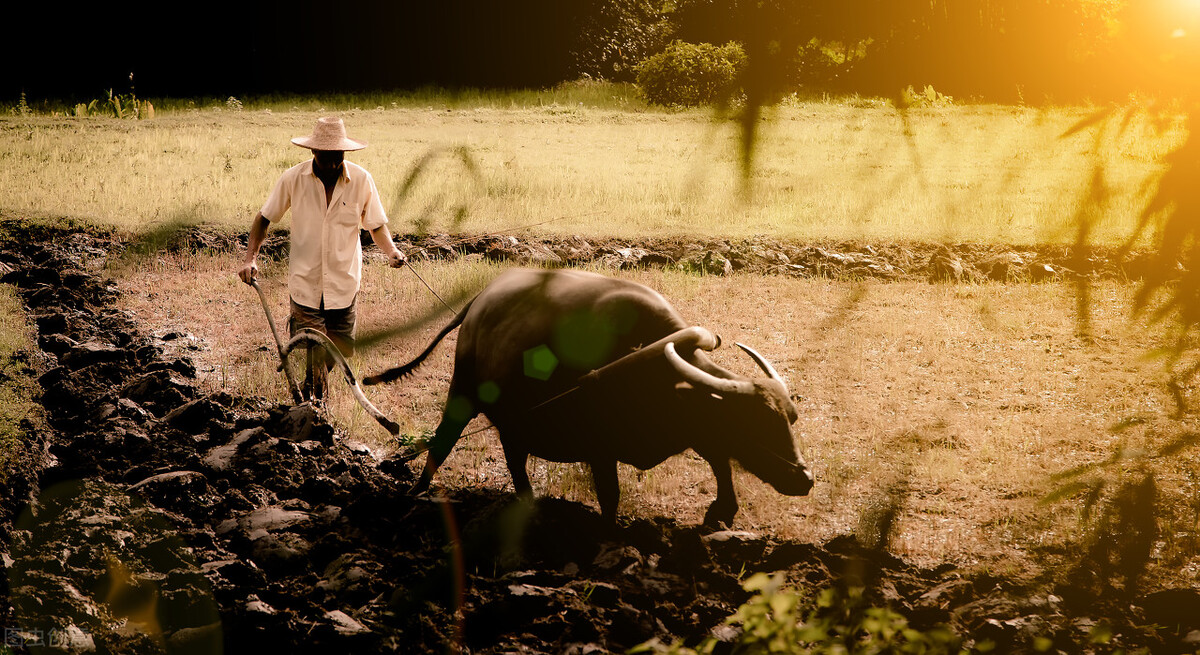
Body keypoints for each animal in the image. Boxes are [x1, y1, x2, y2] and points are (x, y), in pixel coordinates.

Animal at [364, 266, 816, 525]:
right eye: (755, 424)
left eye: (789, 419)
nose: (804, 479)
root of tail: (479, 303)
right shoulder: (601, 449)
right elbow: (611, 498)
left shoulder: (697, 428)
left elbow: (719, 459)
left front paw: (722, 511)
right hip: (462, 393)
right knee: (444, 442)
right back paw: (417, 491)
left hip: (512, 421)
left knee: (514, 458)